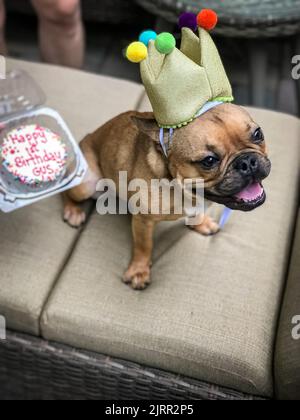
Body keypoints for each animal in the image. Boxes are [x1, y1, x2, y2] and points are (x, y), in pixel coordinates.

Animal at [62, 103, 270, 290]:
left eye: (258, 134)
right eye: (209, 161)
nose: (247, 162)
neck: (183, 189)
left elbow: (197, 213)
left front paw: (201, 223)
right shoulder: (143, 221)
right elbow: (143, 246)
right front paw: (139, 271)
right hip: (85, 185)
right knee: (66, 192)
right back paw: (73, 211)